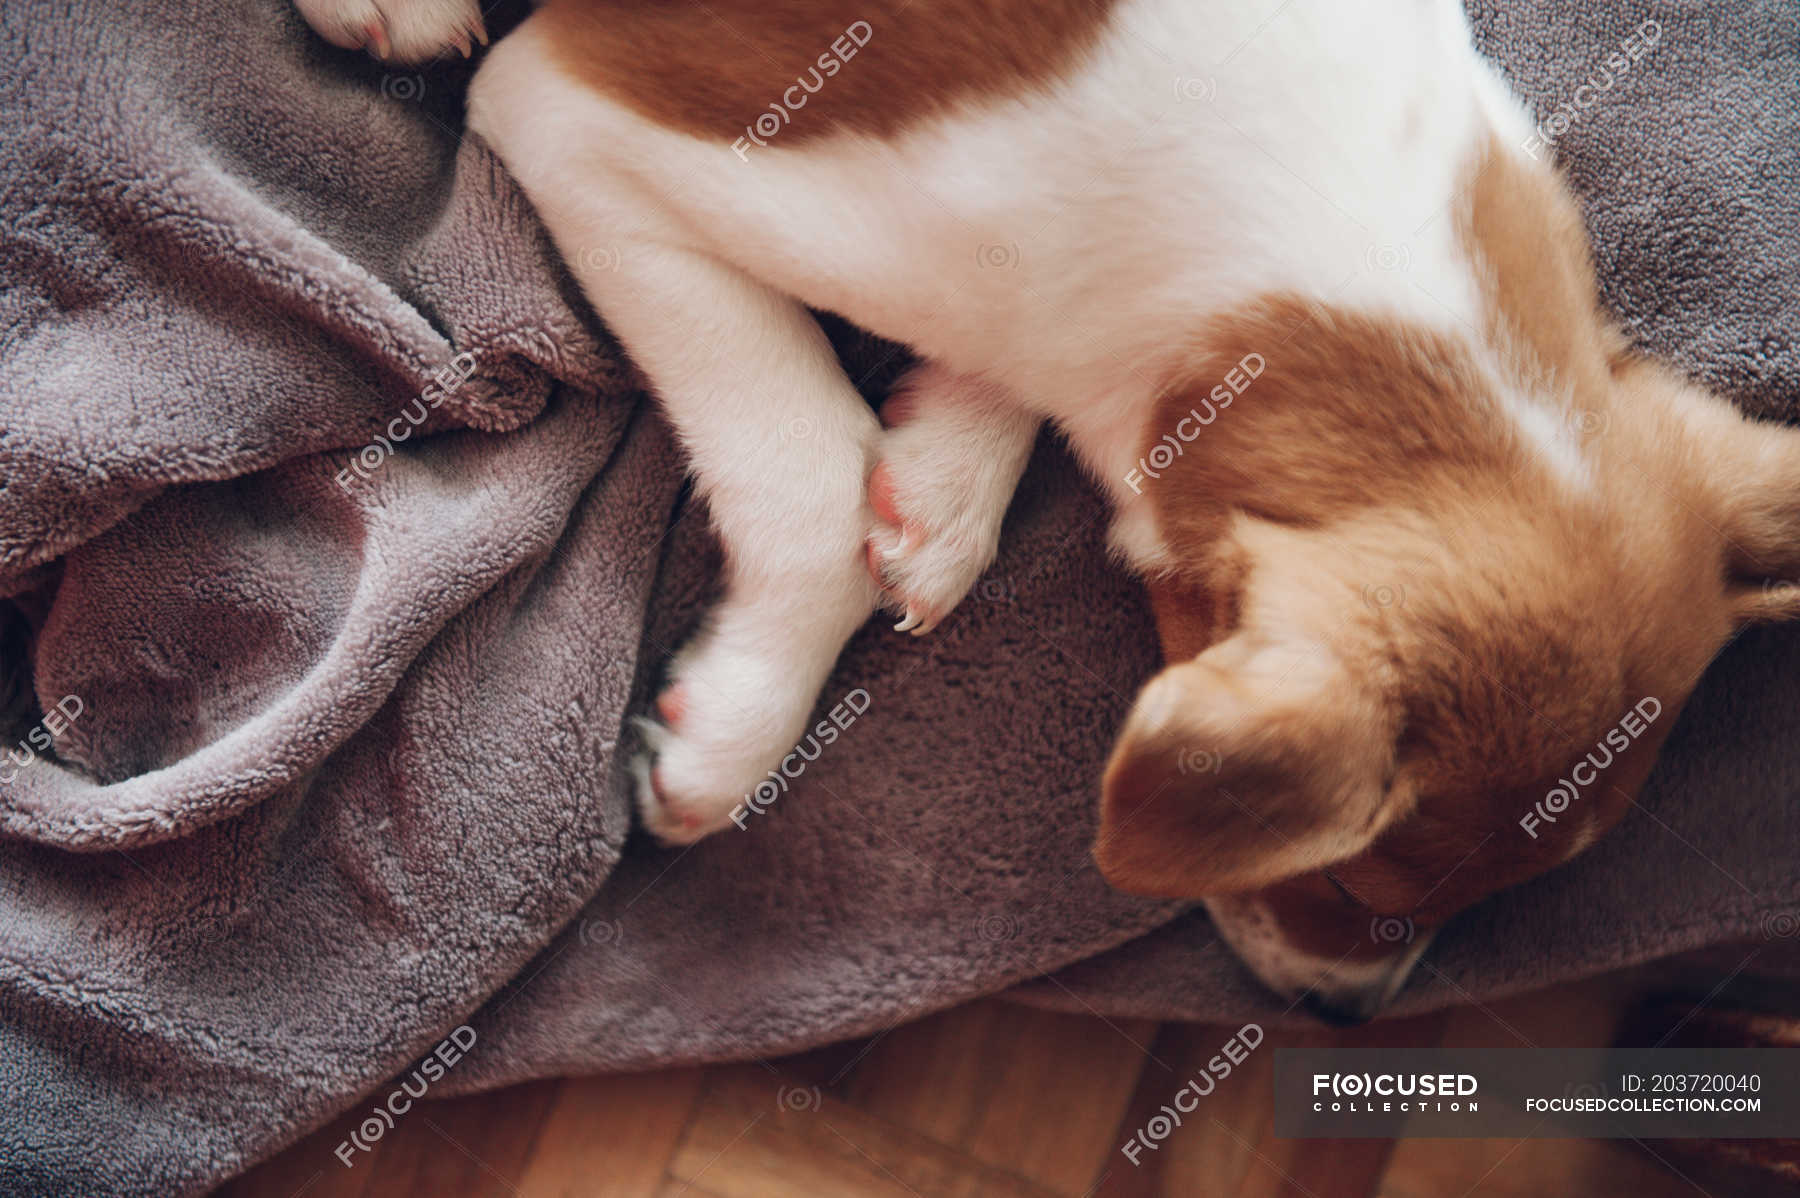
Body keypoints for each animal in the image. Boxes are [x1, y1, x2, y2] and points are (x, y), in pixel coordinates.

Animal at [295, 2, 1800, 1014]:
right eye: (1350, 884)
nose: (1340, 1015)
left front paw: (944, 483)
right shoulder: (585, 123)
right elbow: (810, 472)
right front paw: (738, 721)